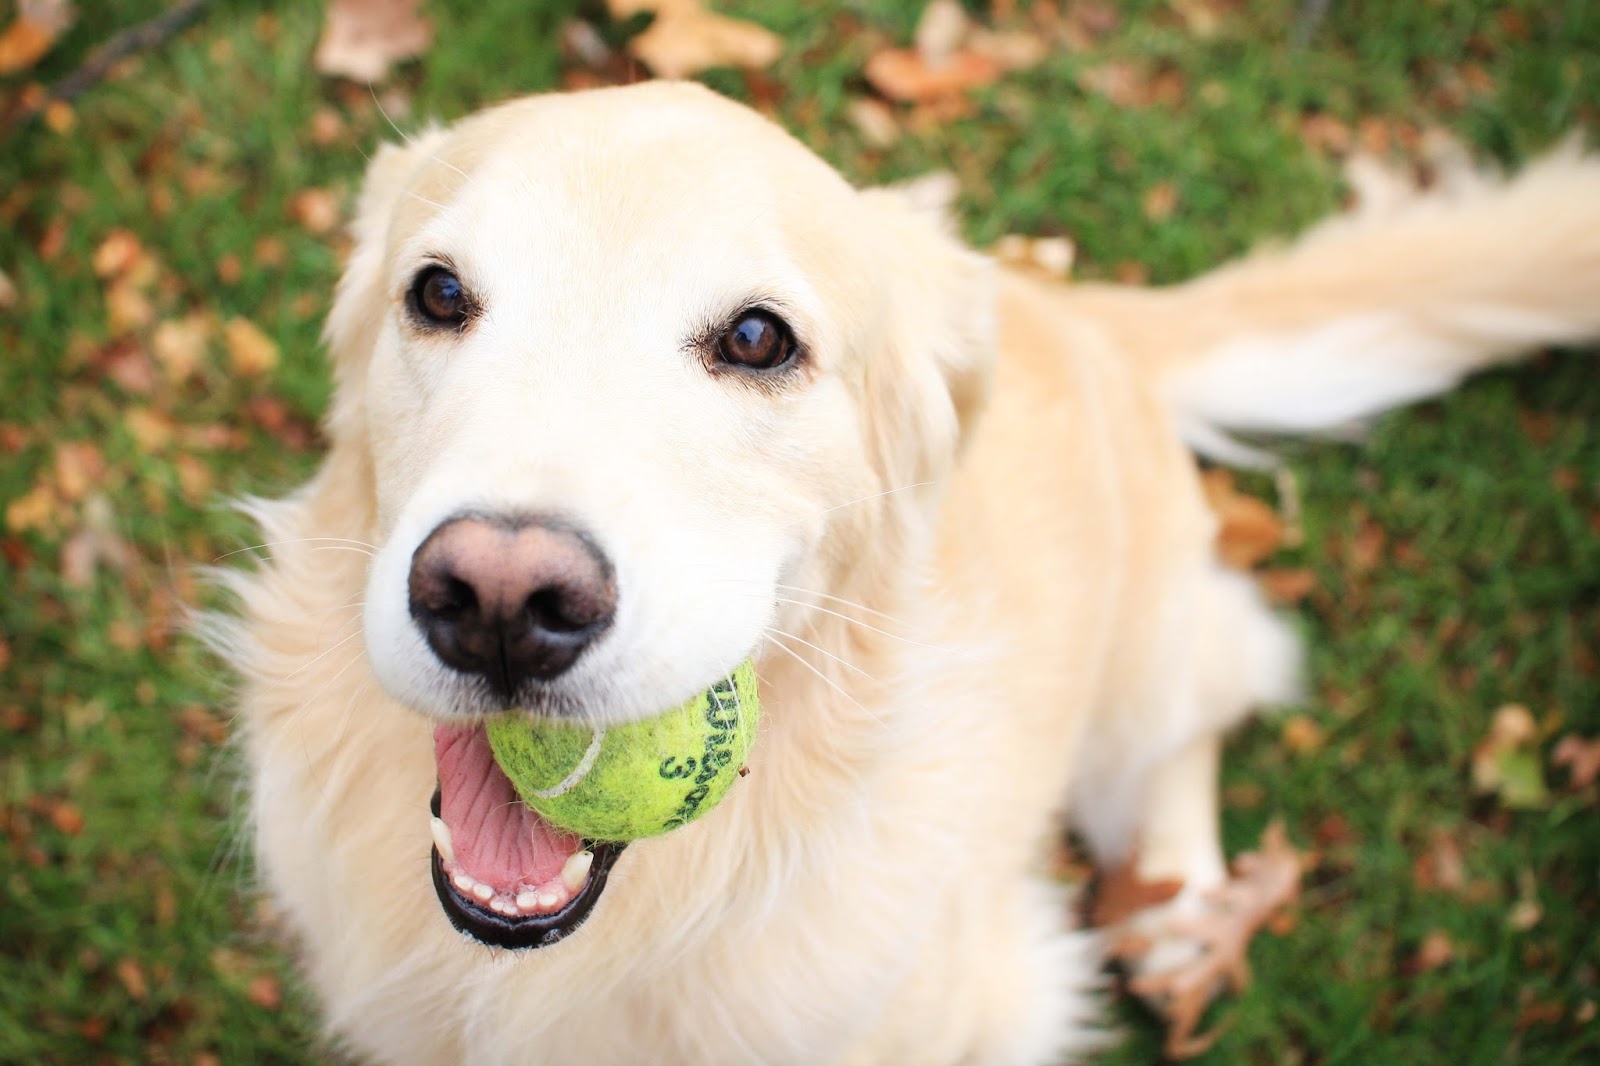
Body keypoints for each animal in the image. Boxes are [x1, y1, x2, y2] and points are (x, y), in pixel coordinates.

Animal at [222, 78, 1600, 1056]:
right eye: (438, 294)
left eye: (757, 338)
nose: (500, 602)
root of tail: (1081, 310)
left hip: (1146, 659)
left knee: (1200, 709)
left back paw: (1181, 913)